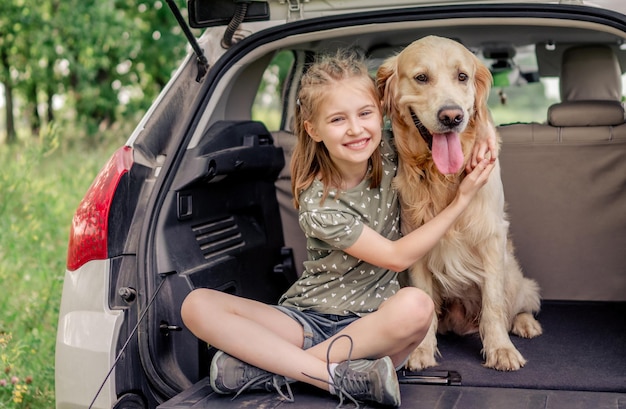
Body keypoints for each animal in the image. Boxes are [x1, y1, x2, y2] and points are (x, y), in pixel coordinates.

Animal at [376, 36, 540, 372]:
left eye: (462, 76)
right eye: (421, 77)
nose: (452, 116)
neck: (442, 176)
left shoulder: (491, 238)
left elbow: (493, 305)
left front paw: (501, 350)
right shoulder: (415, 243)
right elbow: (423, 299)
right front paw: (420, 350)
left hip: (513, 274)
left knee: (518, 303)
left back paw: (525, 323)